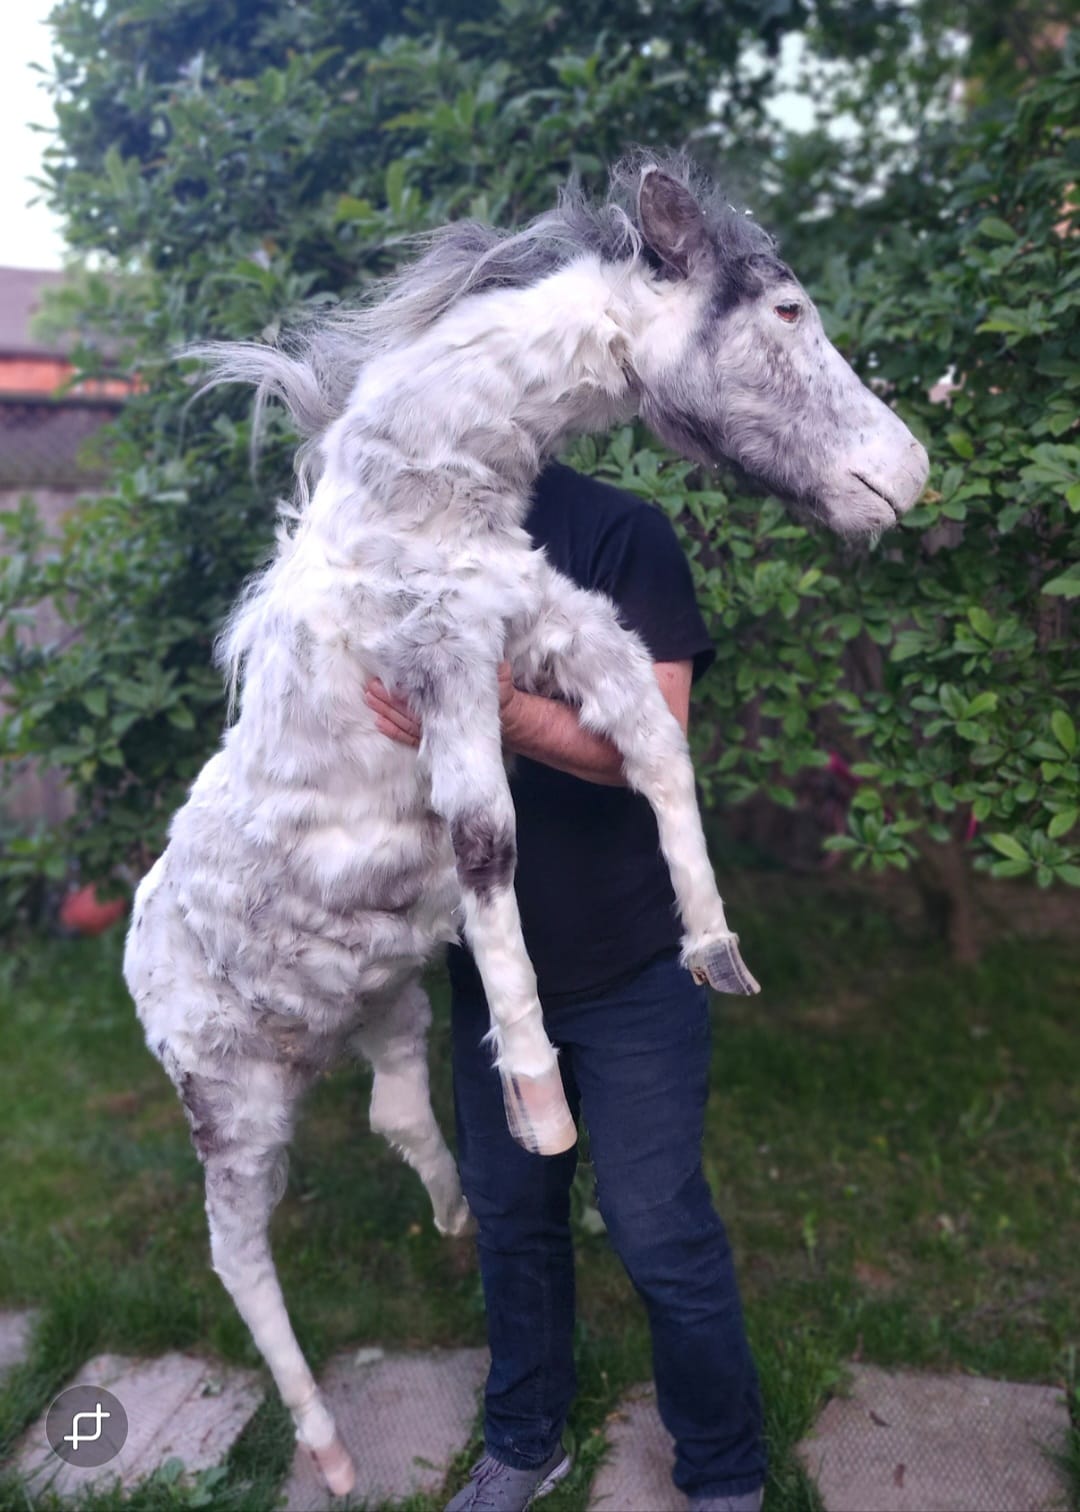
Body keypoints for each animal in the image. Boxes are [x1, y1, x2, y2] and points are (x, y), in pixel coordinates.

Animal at [124, 151, 928, 1495]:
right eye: (785, 310)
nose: (906, 480)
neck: (422, 502)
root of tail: (135, 959)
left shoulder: (552, 625)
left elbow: (655, 742)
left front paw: (714, 952)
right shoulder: (446, 667)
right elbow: (489, 845)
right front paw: (547, 1107)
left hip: (383, 1006)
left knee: (397, 1110)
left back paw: (455, 1216)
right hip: (230, 1102)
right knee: (234, 1253)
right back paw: (330, 1452)